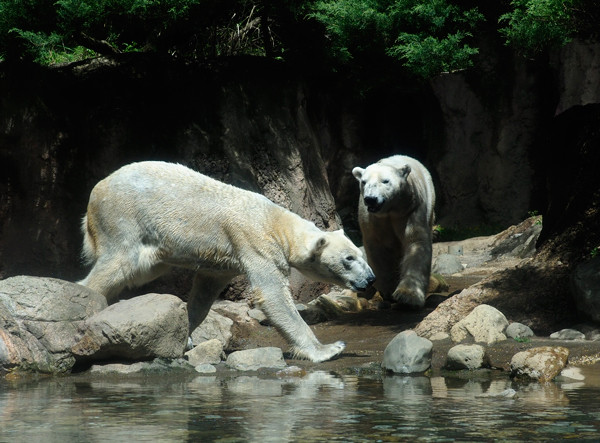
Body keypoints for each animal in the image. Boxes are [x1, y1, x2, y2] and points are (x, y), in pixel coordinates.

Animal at [77, 161, 372, 362]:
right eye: (348, 259)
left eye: (361, 254)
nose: (370, 279)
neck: (276, 222)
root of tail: (95, 192)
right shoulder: (254, 241)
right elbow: (273, 294)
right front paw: (329, 349)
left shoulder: (221, 263)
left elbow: (204, 294)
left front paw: (186, 337)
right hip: (123, 217)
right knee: (121, 263)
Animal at [350, 155, 434, 308]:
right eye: (364, 182)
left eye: (385, 181)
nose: (371, 199)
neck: (390, 210)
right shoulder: (373, 219)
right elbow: (378, 248)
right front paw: (388, 290)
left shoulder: (411, 209)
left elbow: (415, 242)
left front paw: (408, 296)